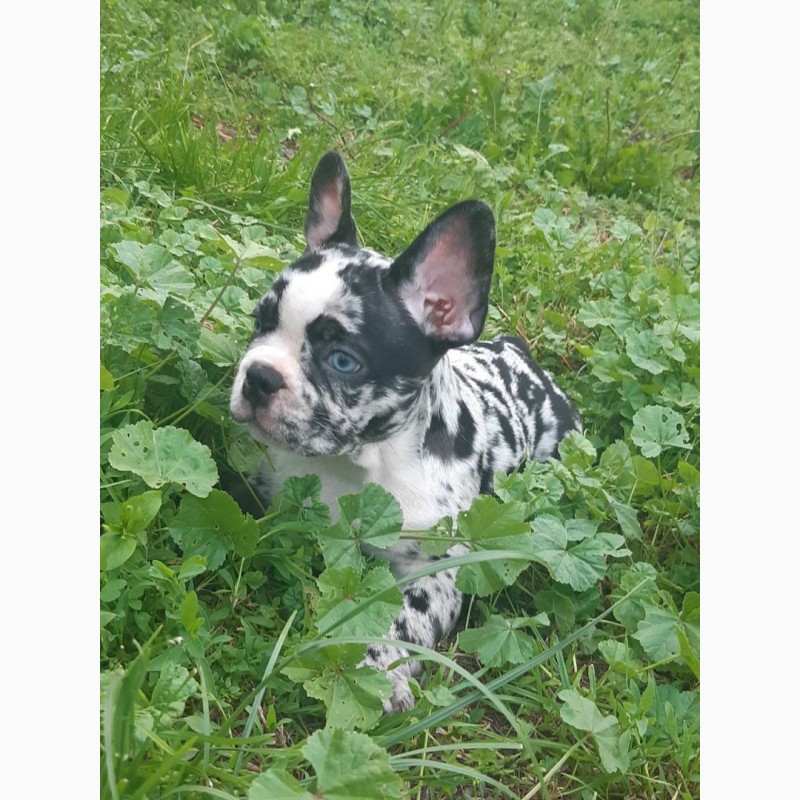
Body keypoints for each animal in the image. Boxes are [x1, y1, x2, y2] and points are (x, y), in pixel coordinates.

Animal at [228, 152, 580, 712]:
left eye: (343, 361)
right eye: (260, 322)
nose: (258, 376)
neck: (361, 463)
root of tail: (519, 352)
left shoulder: (438, 568)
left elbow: (404, 619)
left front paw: (379, 668)